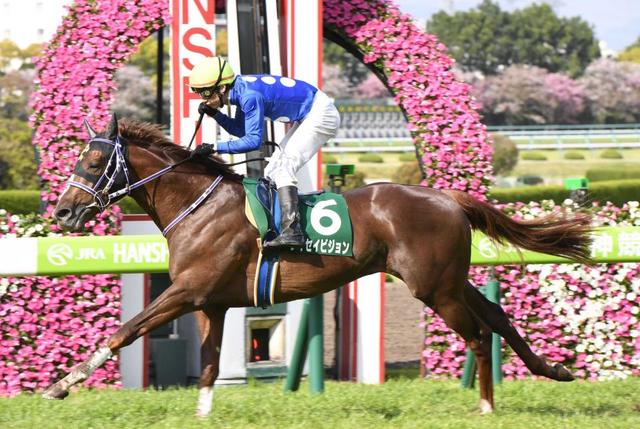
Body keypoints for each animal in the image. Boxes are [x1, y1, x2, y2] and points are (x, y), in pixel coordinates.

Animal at [45, 114, 593, 416]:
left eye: (93, 163)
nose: (64, 212)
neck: (198, 205)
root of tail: (449, 198)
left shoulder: (186, 290)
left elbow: (125, 331)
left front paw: (60, 385)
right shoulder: (211, 302)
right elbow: (208, 365)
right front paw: (201, 415)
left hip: (435, 289)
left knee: (478, 335)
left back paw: (485, 406)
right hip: (451, 282)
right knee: (498, 318)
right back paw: (553, 371)